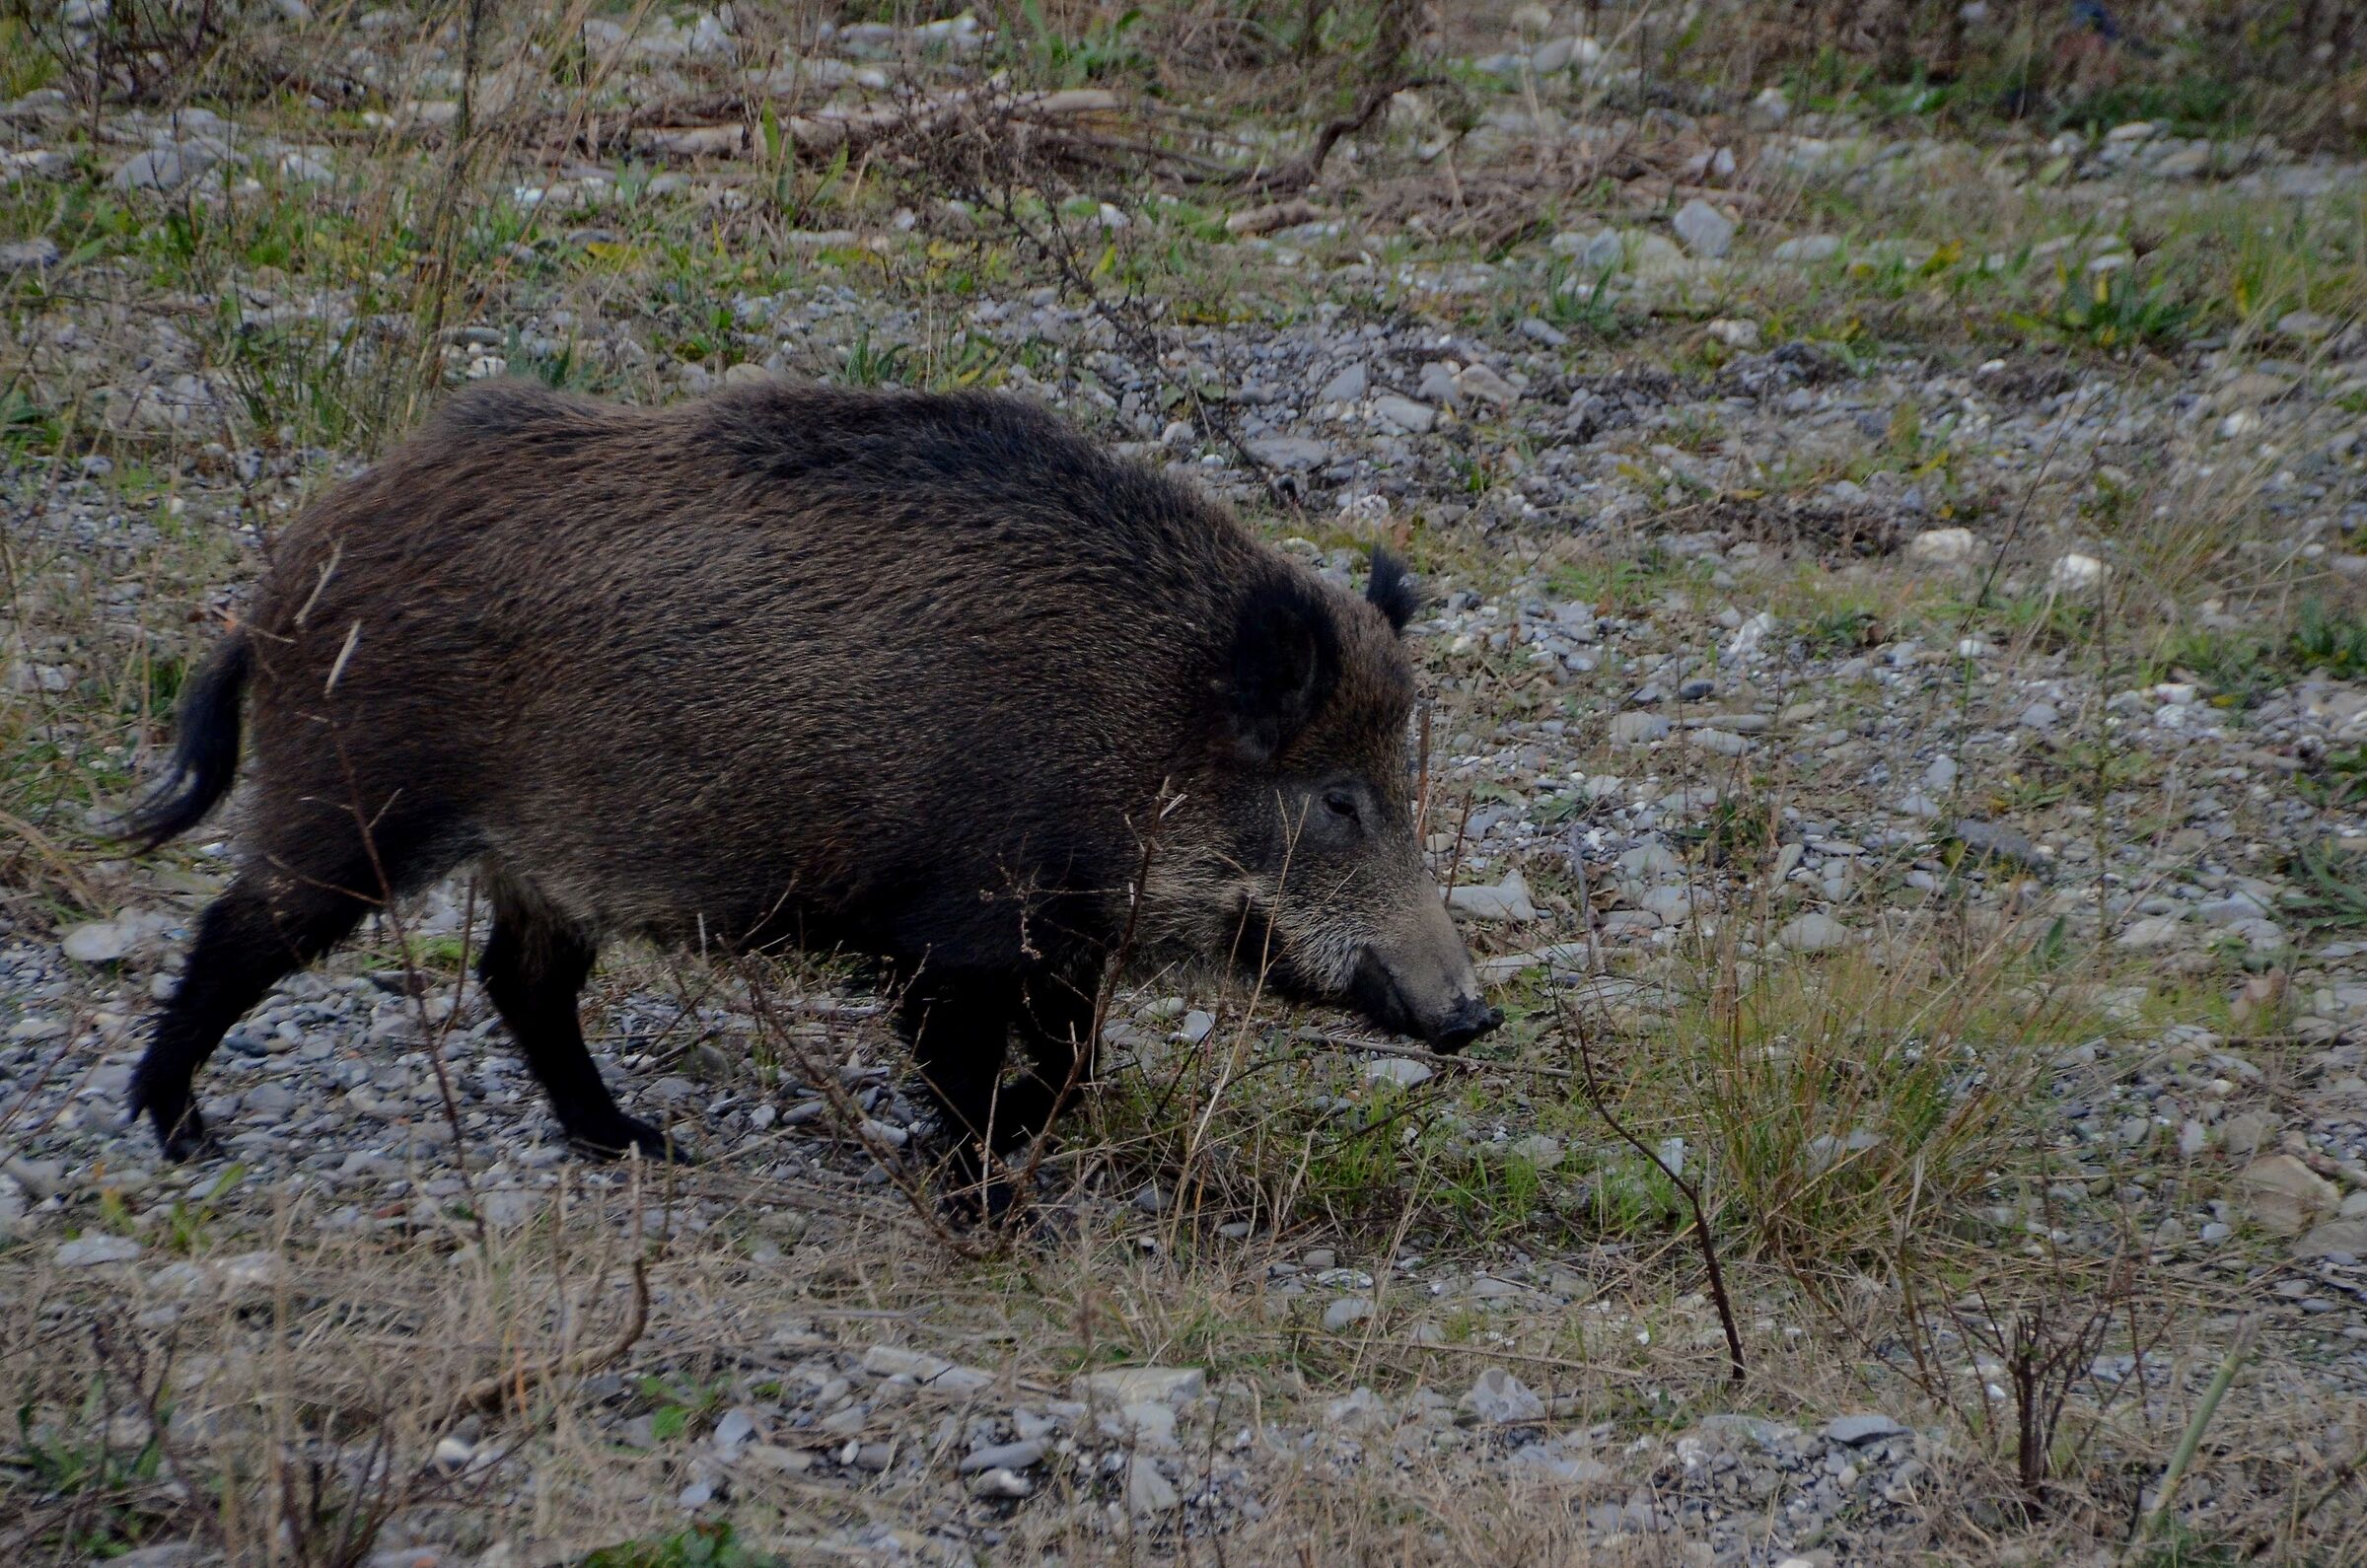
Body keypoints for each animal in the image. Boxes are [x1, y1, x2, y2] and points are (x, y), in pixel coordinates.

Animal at [121, 381, 1500, 1202]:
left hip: (541, 858)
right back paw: (182, 1130)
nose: (1476, 1014)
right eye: (1337, 799)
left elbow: (1069, 1065)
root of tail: (282, 583)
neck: (1139, 715)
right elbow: (975, 1069)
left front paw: (994, 1150)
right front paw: (973, 1187)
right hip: (356, 800)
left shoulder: (1060, 943)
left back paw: (637, 1144)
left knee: (520, 981)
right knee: (239, 931)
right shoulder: (953, 934)